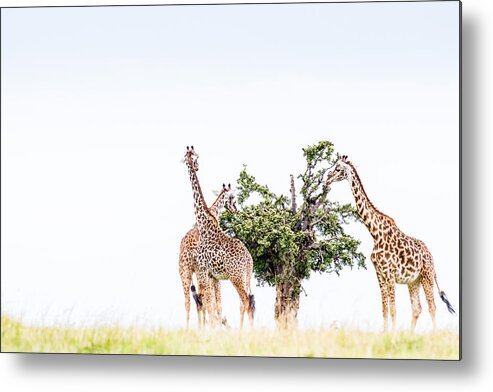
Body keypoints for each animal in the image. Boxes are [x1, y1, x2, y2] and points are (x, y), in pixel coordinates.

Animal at [178, 183, 237, 328]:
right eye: (233, 197)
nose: (236, 210)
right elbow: (215, 301)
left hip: (185, 271)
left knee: (191, 301)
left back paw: (191, 328)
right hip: (198, 271)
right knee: (203, 299)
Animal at [184, 146, 256, 328]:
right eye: (194, 157)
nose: (236, 209)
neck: (204, 223)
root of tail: (249, 260)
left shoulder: (203, 270)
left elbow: (209, 304)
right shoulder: (212, 275)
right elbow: (212, 305)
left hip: (235, 277)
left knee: (245, 302)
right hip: (246, 277)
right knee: (248, 303)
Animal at [326, 155, 454, 332]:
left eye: (338, 169)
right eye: (333, 167)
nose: (327, 179)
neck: (375, 234)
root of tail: (431, 256)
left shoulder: (390, 274)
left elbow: (393, 309)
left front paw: (392, 334)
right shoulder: (379, 274)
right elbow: (384, 309)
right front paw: (386, 334)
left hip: (426, 276)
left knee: (432, 307)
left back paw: (434, 335)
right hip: (413, 281)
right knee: (417, 308)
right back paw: (410, 334)